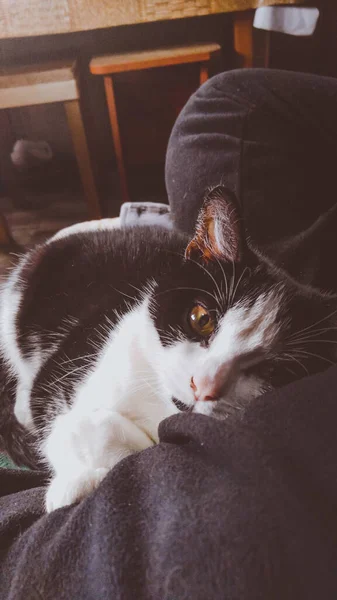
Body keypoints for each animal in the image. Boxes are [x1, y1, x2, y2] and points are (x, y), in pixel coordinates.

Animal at [0, 186, 336, 510]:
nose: (203, 385)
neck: (156, 401)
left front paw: (79, 476)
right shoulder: (73, 358)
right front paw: (74, 472)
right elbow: (55, 409)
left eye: (273, 370)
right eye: (201, 318)